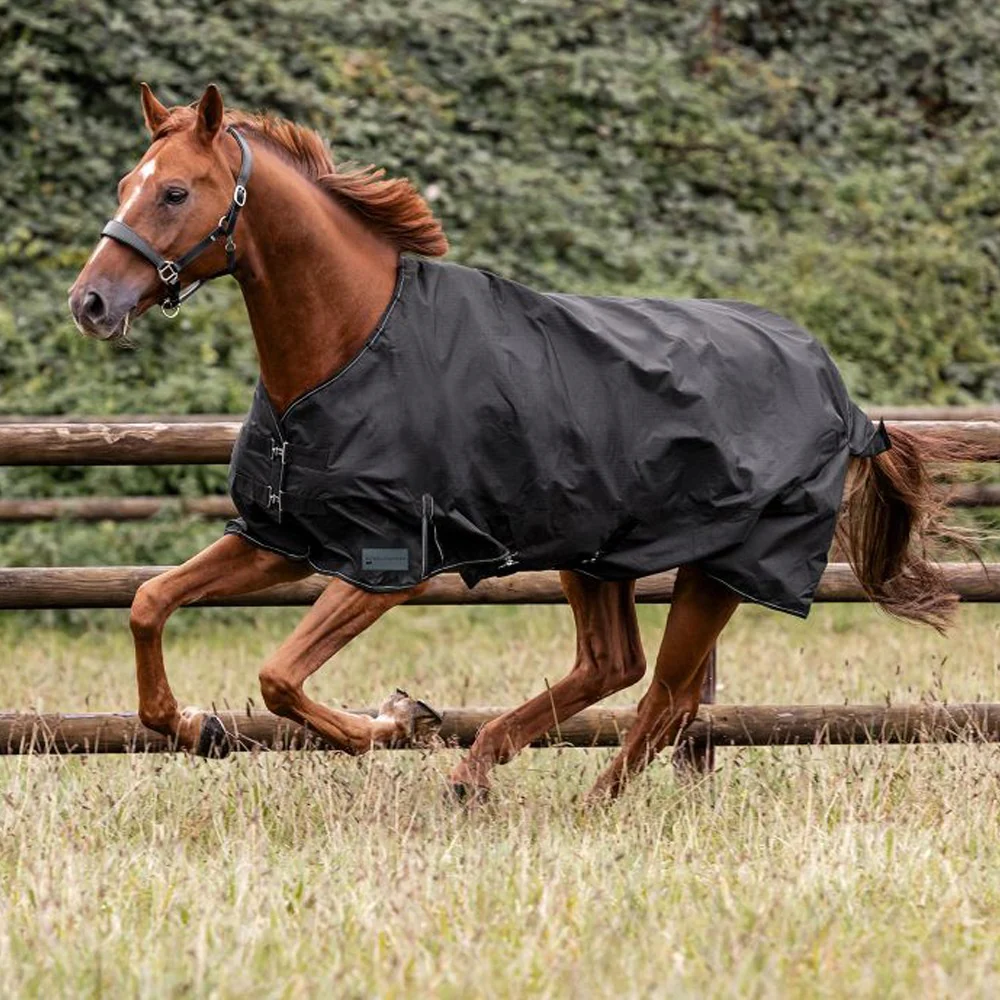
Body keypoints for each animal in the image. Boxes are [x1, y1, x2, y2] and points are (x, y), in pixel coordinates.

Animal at [69, 84, 966, 802]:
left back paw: (577, 804)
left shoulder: (388, 564)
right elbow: (150, 603)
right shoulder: (283, 538)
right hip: (596, 553)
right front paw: (198, 728)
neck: (350, 346)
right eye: (122, 185)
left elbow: (279, 675)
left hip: (722, 569)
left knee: (665, 696)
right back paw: (483, 773)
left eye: (174, 191)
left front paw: (393, 723)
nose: (91, 303)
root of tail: (841, 394)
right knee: (613, 667)